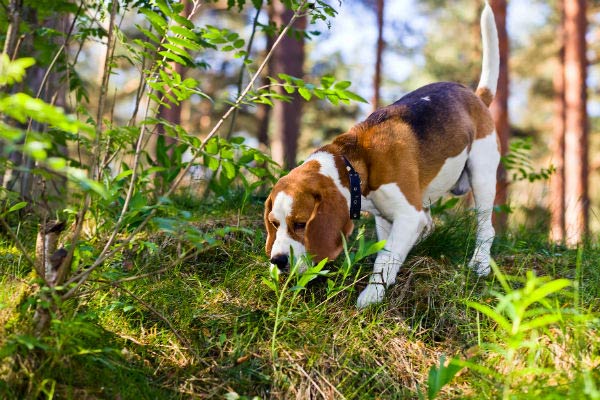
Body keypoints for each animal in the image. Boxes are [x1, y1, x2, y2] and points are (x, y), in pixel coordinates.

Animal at [264, 3, 500, 308]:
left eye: (301, 224)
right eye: (274, 223)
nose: (278, 260)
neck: (354, 165)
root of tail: (476, 96)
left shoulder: (407, 215)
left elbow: (385, 259)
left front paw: (372, 295)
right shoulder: (385, 218)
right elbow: (388, 251)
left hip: (482, 175)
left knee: (485, 227)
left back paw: (480, 263)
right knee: (430, 225)